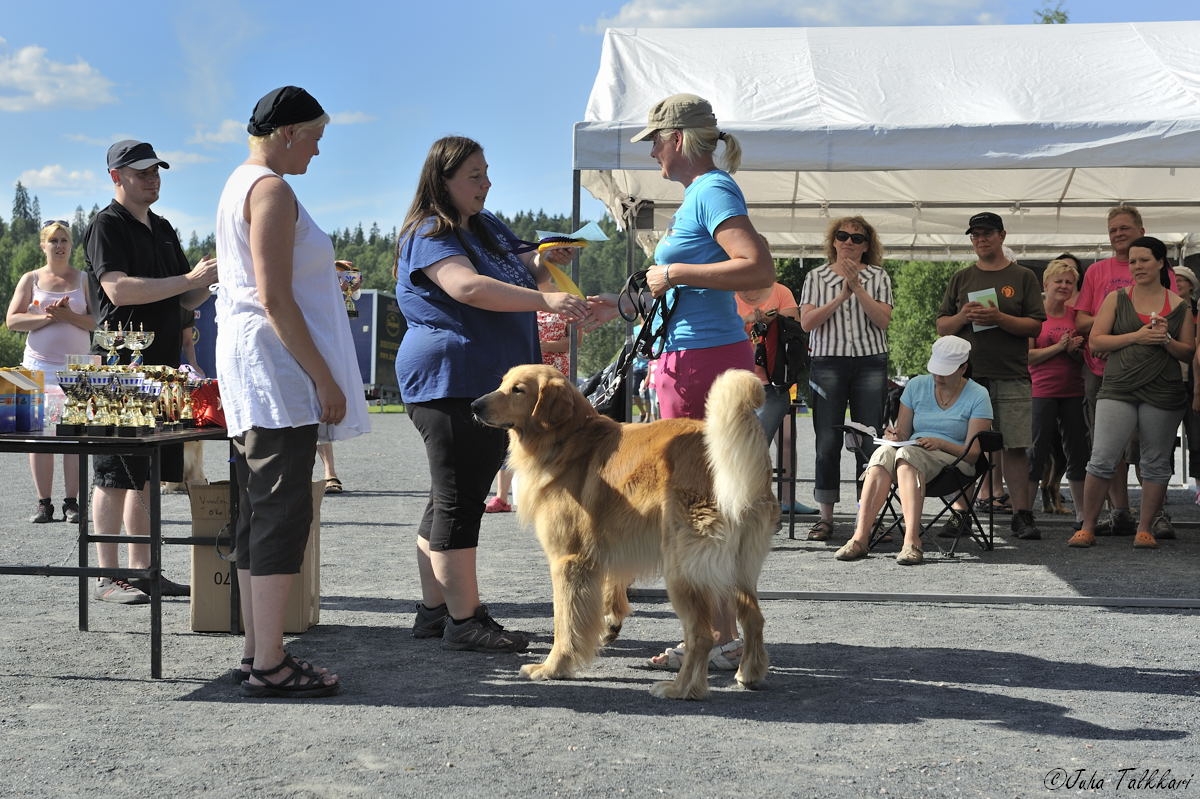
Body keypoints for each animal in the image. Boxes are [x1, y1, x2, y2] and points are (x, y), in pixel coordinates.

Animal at [470, 362, 777, 695]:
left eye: (518, 390)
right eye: (502, 384)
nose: (474, 405)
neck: (568, 438)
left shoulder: (568, 560)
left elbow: (565, 621)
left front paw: (554, 667)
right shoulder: (608, 546)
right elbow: (609, 588)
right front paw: (609, 624)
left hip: (681, 569)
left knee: (703, 634)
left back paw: (680, 689)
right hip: (737, 567)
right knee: (754, 618)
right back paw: (749, 673)